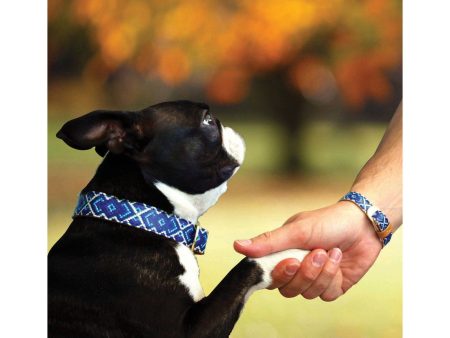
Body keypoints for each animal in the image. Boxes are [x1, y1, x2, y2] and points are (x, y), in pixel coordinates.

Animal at [49, 101, 308, 338]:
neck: (141, 219)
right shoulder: (188, 330)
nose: (229, 125)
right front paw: (297, 252)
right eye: (207, 121)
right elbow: (247, 266)